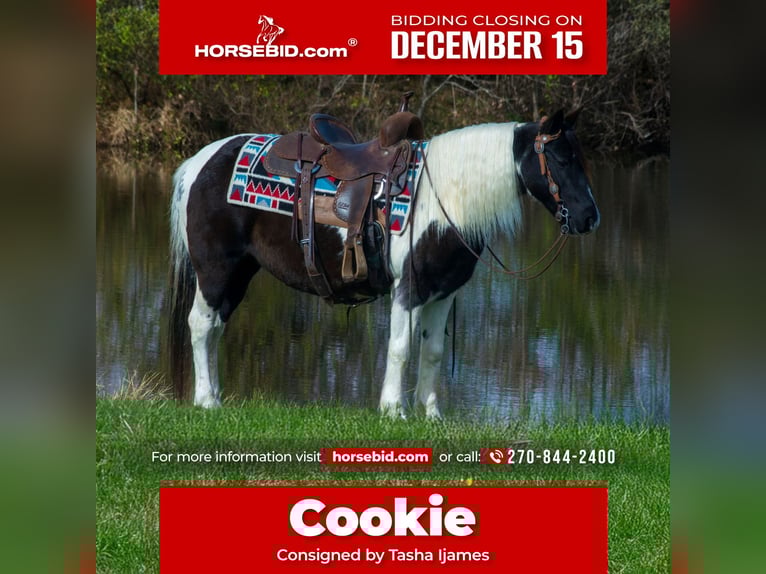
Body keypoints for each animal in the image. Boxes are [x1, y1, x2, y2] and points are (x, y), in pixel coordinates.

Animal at [168, 109, 600, 418]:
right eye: (561, 159)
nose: (589, 218)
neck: (442, 199)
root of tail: (199, 163)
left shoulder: (443, 293)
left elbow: (432, 351)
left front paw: (431, 414)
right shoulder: (409, 289)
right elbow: (400, 347)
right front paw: (393, 409)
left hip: (240, 272)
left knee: (216, 328)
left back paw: (216, 394)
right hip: (215, 268)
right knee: (201, 325)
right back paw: (206, 400)